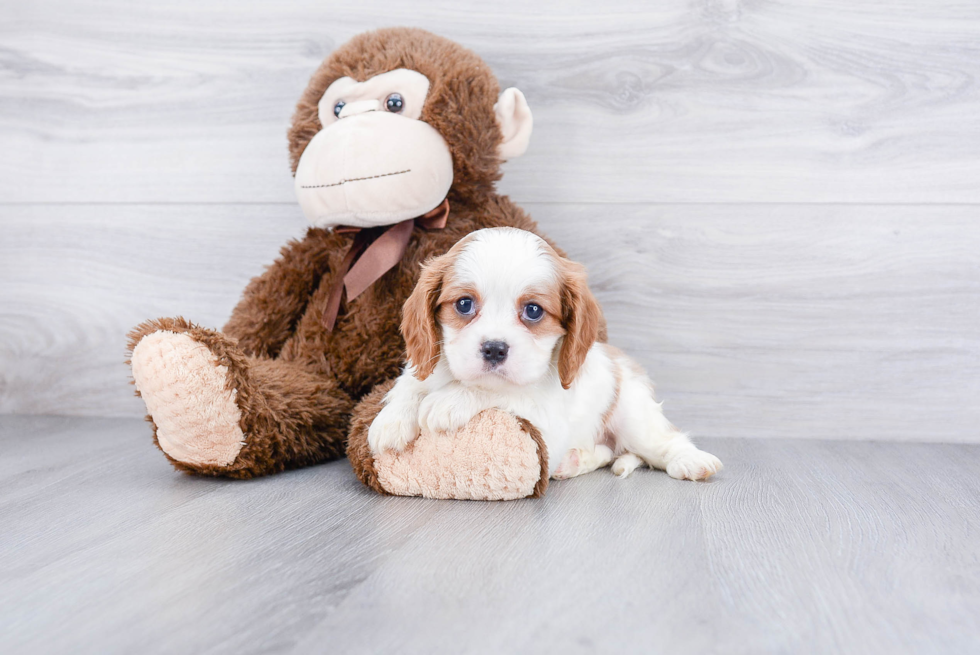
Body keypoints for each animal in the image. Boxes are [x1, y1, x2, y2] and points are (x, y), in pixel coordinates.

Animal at [368, 227, 720, 482]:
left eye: (534, 311)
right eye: (464, 304)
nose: (494, 348)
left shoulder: (546, 419)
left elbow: (505, 393)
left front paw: (449, 400)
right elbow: (410, 384)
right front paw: (391, 420)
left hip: (634, 417)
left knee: (662, 441)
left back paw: (691, 460)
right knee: (606, 453)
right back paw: (574, 461)